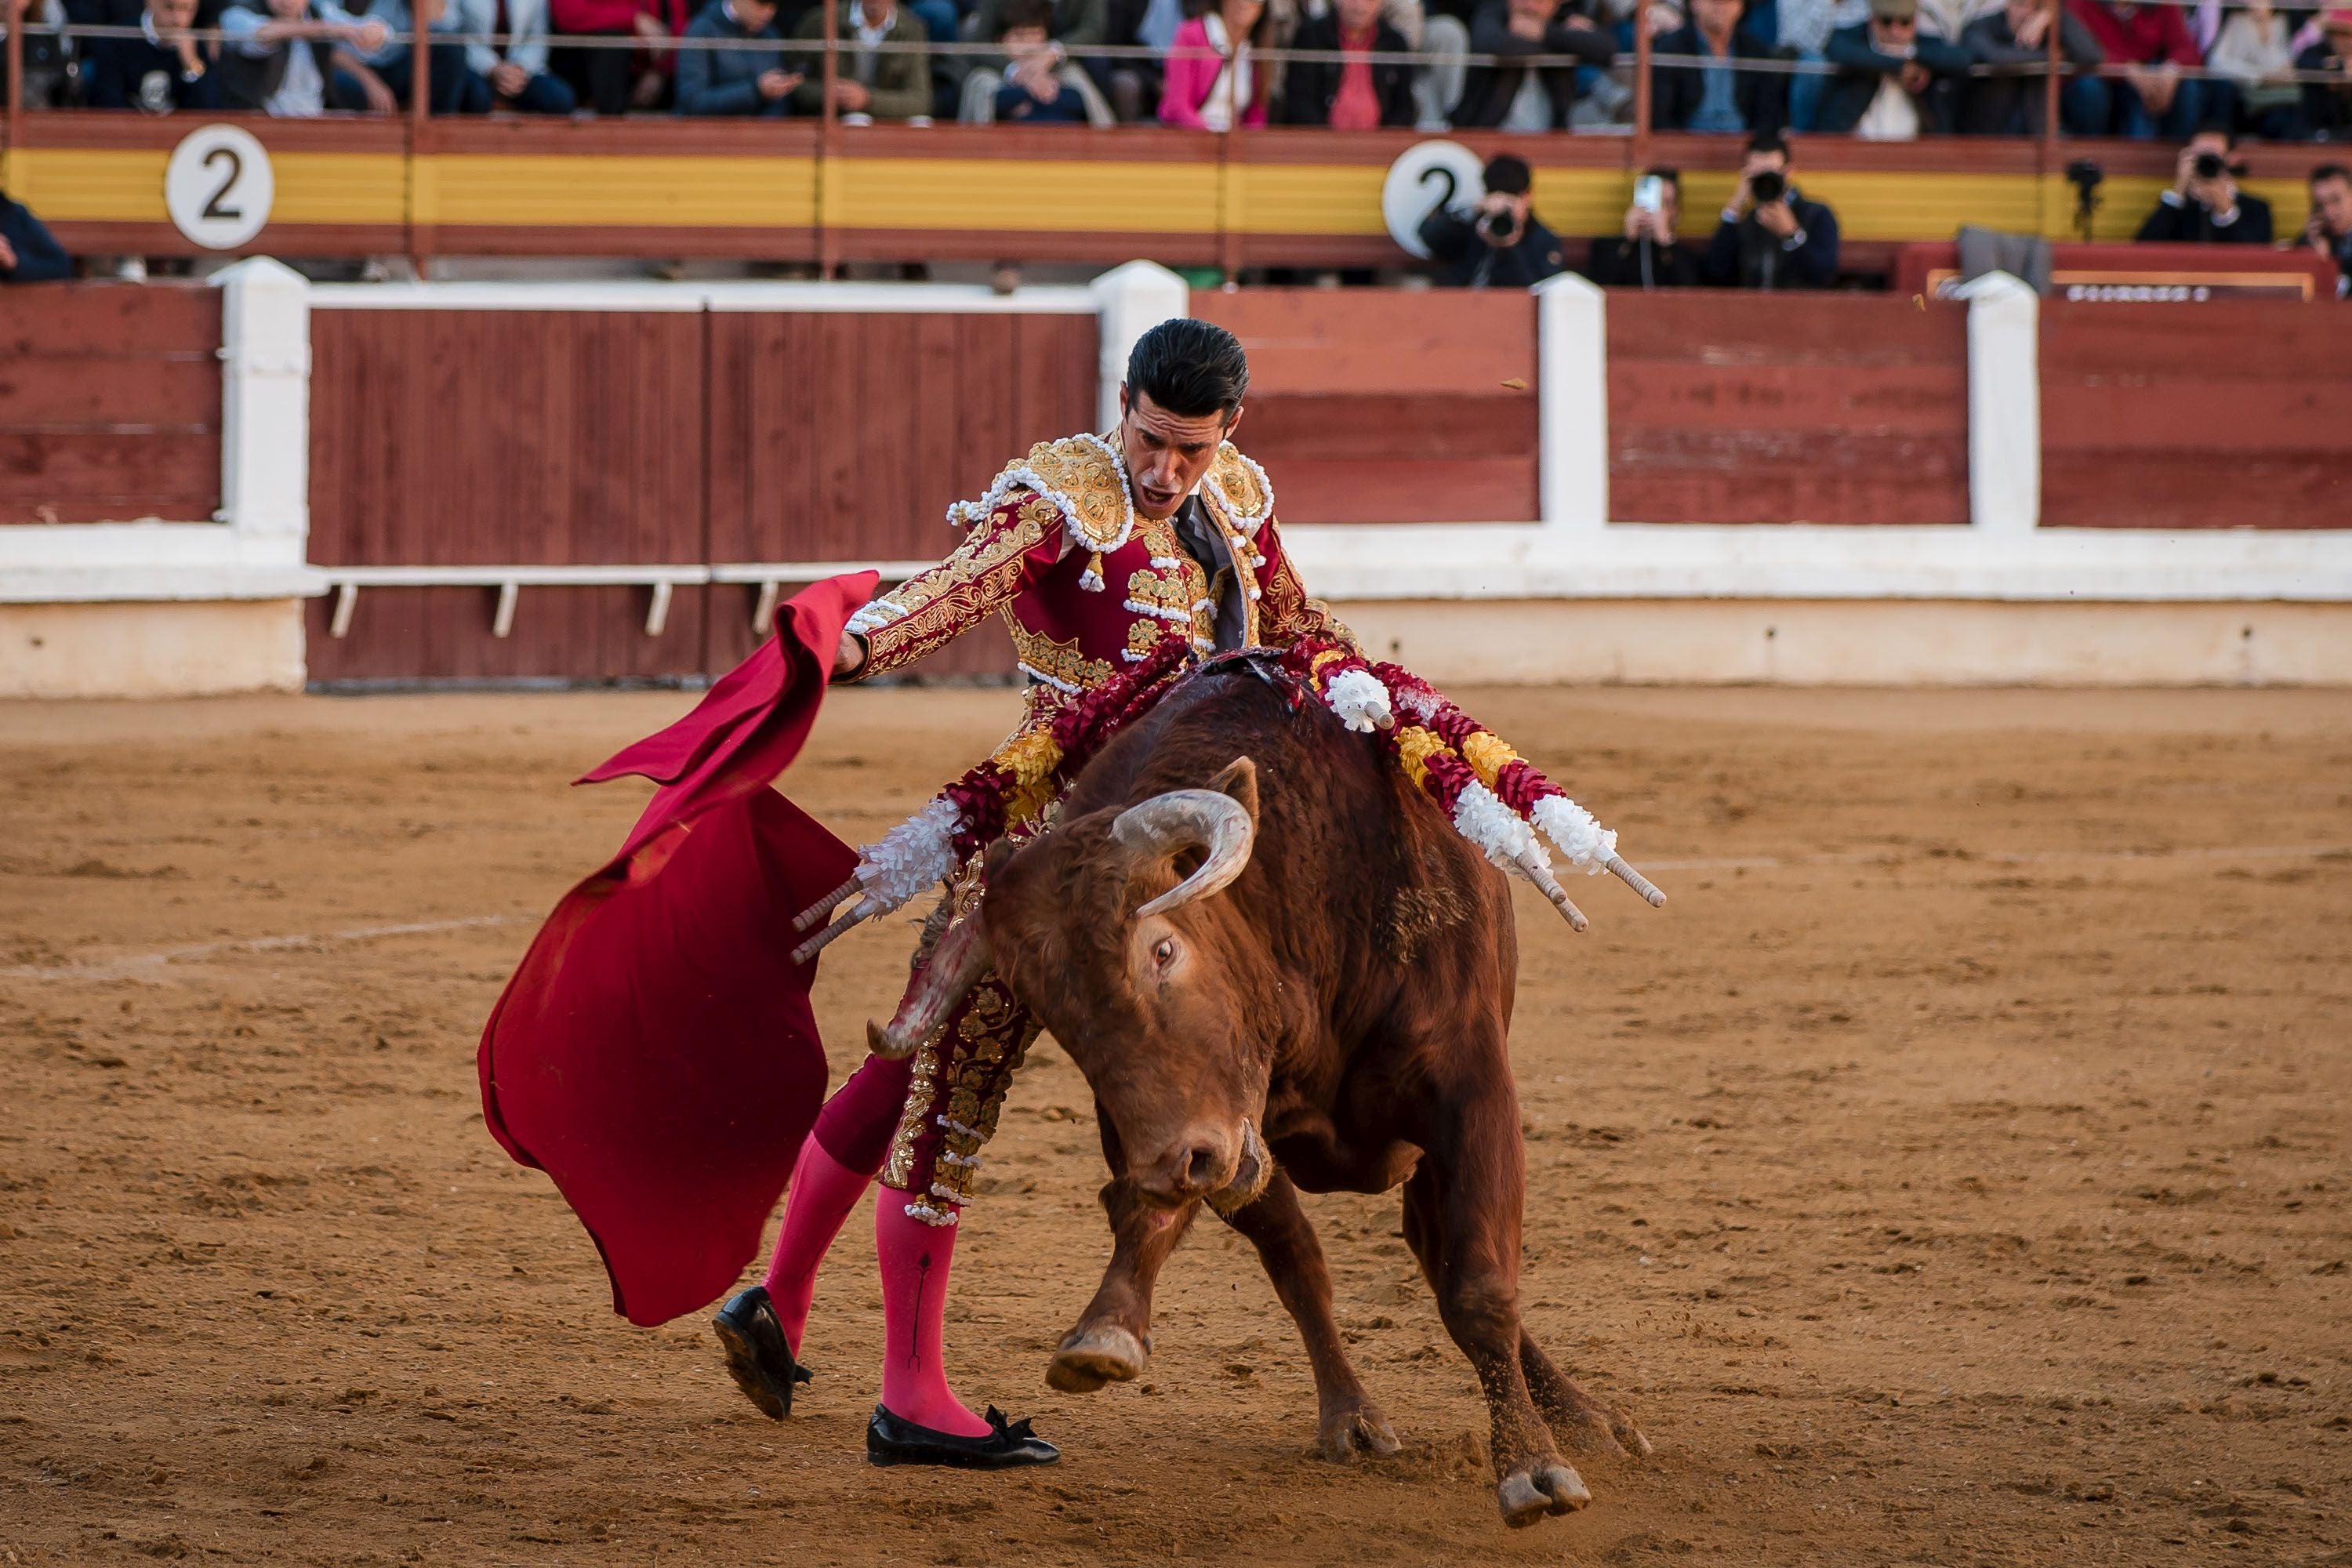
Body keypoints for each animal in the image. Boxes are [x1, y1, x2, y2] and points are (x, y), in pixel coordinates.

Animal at [880, 658, 1656, 1523]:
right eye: (1050, 1008)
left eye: (1162, 948)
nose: (1178, 1161)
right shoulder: (1186, 1131)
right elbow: (1283, 1254)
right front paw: (1110, 1331)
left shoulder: (1474, 1088)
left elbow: (1481, 1284)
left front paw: (1533, 1465)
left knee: (1445, 1250)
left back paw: (1588, 1420)